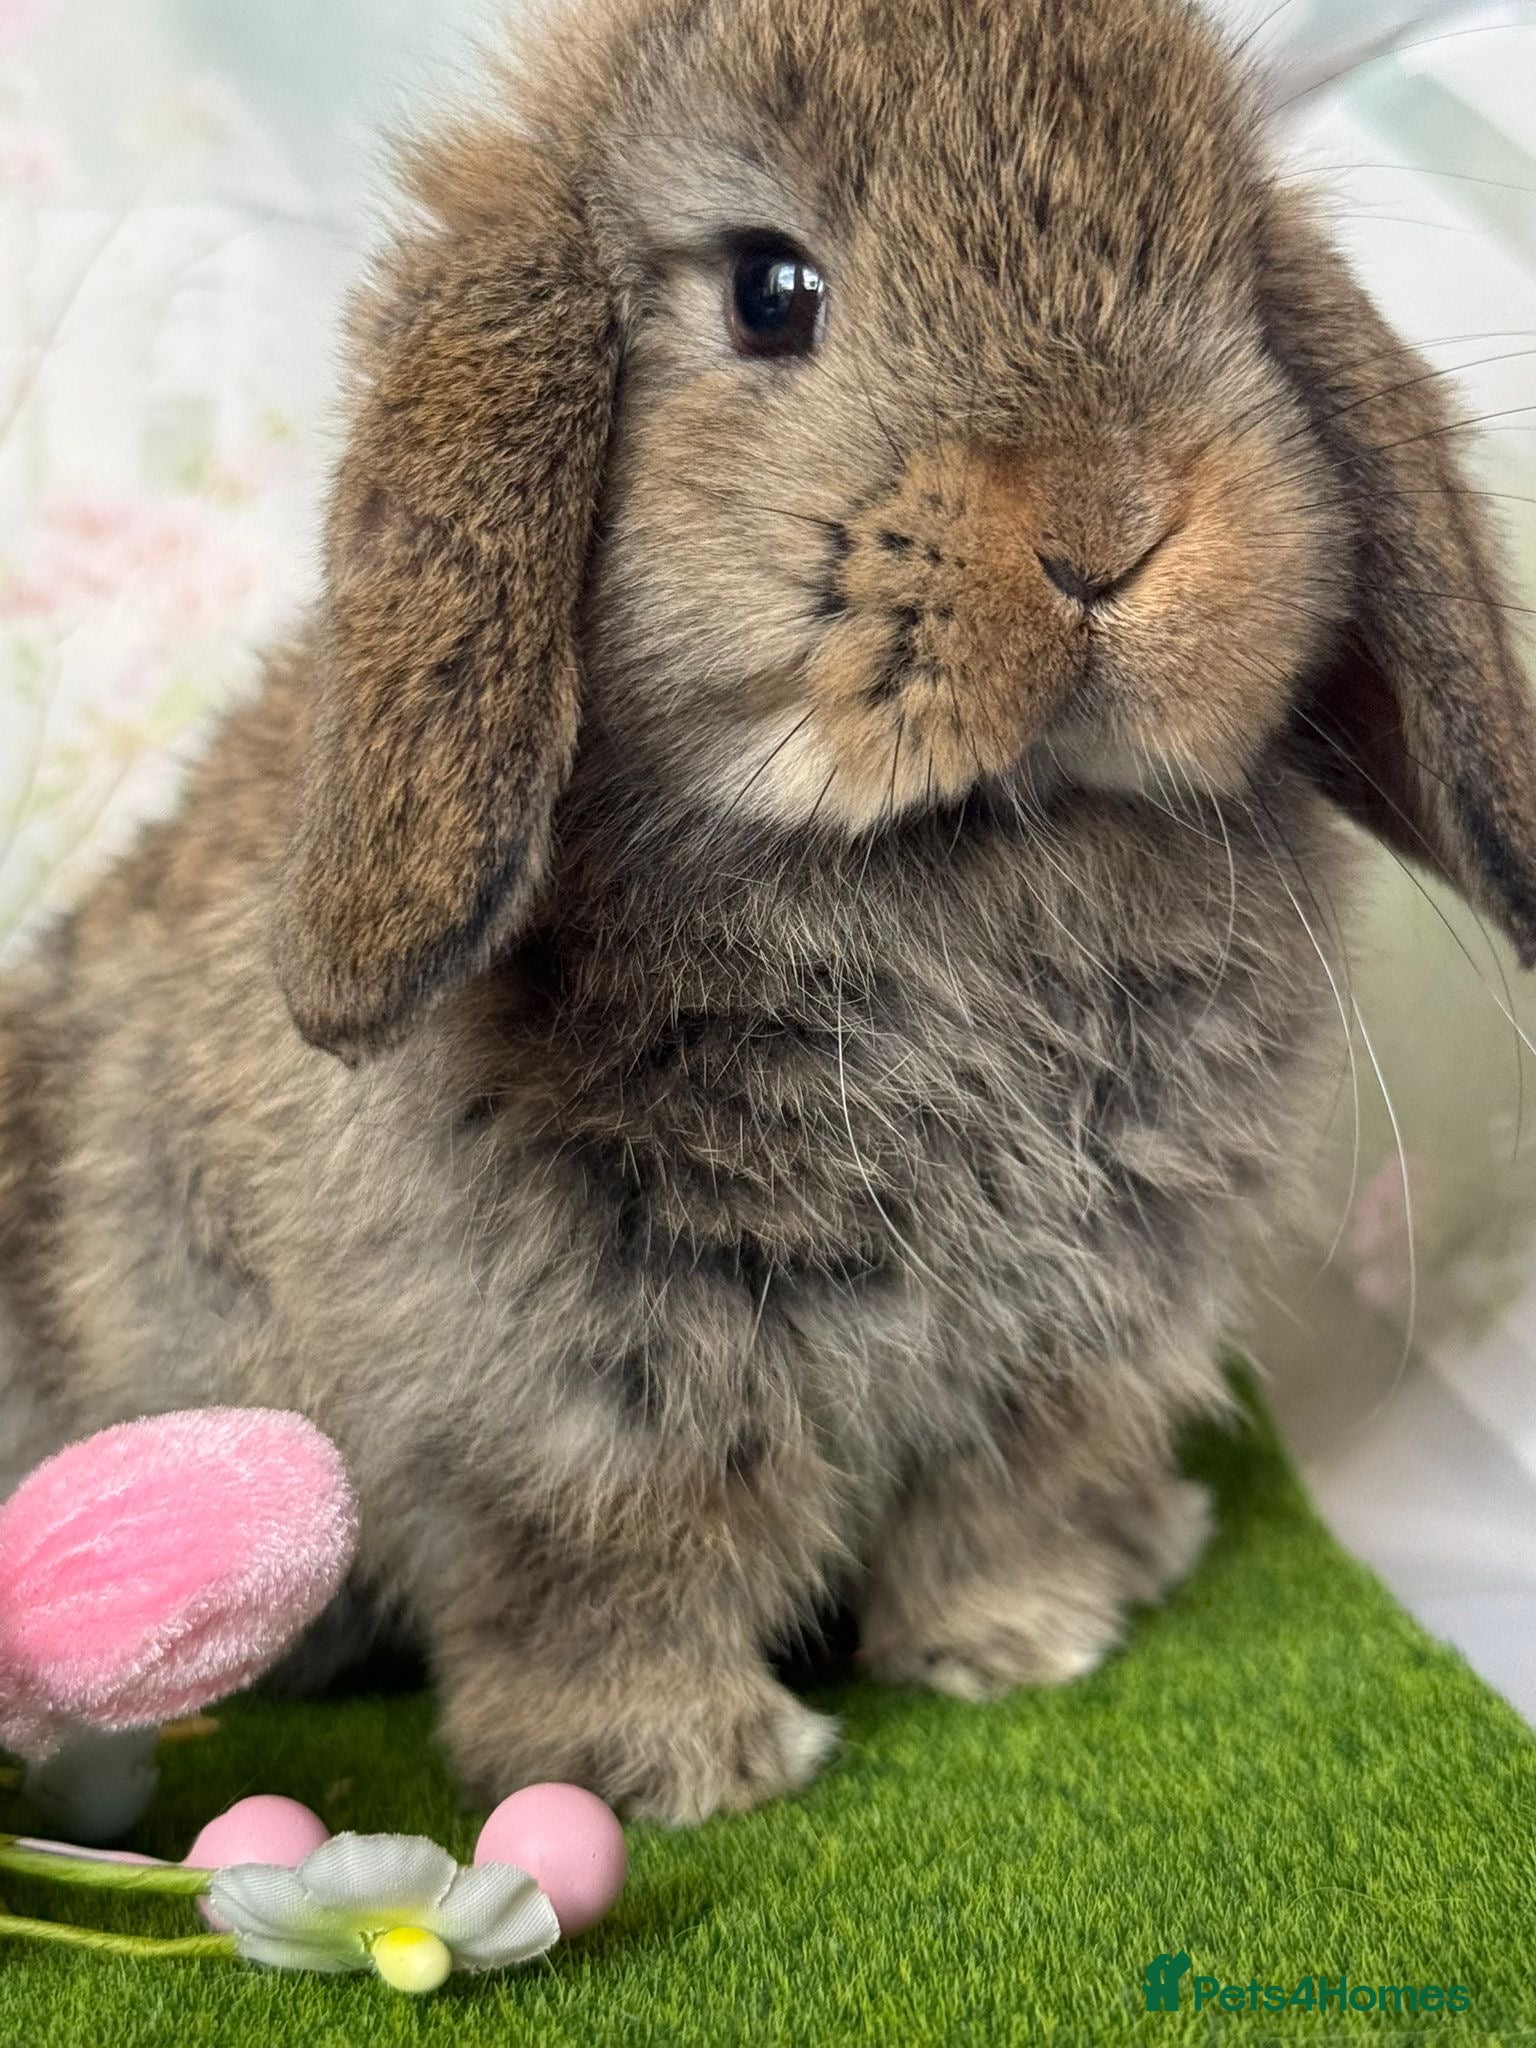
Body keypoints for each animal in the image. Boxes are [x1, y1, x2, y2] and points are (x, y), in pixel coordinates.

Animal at [3, 0, 1535, 1826]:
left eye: (1228, 275)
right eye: (769, 292)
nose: (1110, 521)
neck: (955, 851)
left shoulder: (1077, 1328)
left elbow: (1006, 1491)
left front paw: (1026, 1638)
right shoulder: (576, 1391)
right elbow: (616, 1561)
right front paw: (681, 1763)